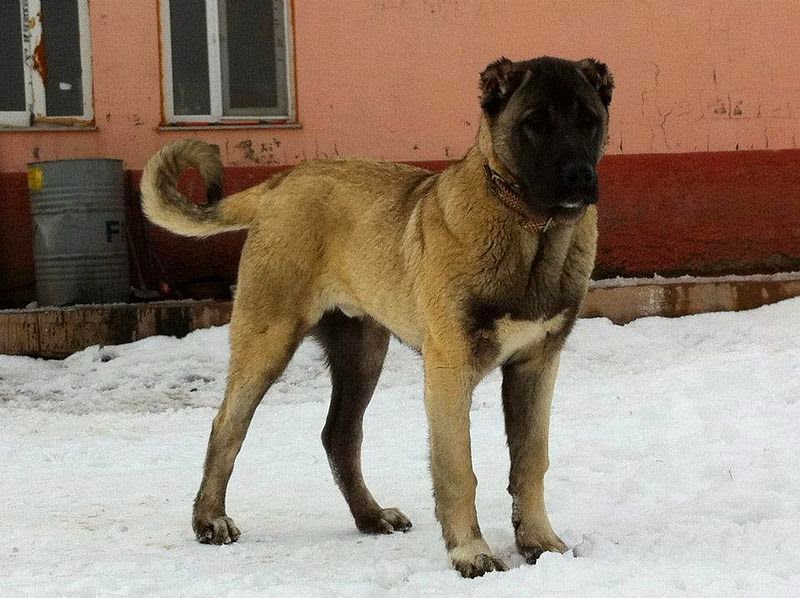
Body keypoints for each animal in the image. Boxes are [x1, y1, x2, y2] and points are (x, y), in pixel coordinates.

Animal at [139, 57, 612, 580]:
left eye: (589, 119)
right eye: (535, 122)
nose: (578, 176)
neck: (533, 231)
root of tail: (280, 183)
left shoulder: (537, 364)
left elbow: (530, 461)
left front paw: (539, 542)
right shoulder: (449, 370)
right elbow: (457, 468)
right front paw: (470, 552)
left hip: (362, 353)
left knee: (339, 435)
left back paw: (370, 516)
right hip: (268, 337)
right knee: (227, 425)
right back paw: (210, 520)